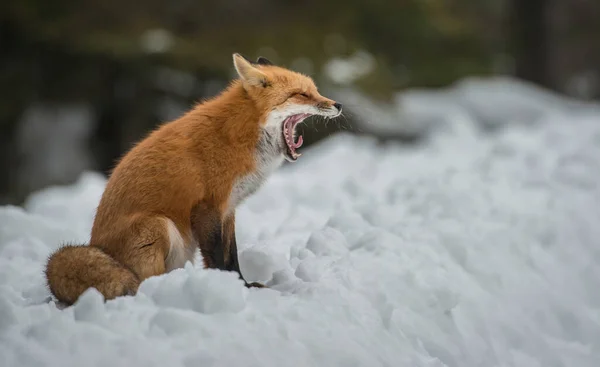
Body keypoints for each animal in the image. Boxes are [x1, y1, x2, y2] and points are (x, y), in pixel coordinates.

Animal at [44, 51, 342, 304]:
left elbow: (232, 256)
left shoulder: (228, 208)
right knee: (143, 281)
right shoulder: (207, 207)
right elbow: (217, 256)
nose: (338, 105)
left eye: (315, 90)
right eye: (301, 94)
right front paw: (228, 288)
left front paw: (243, 285)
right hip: (158, 226)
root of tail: (97, 245)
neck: (240, 135)